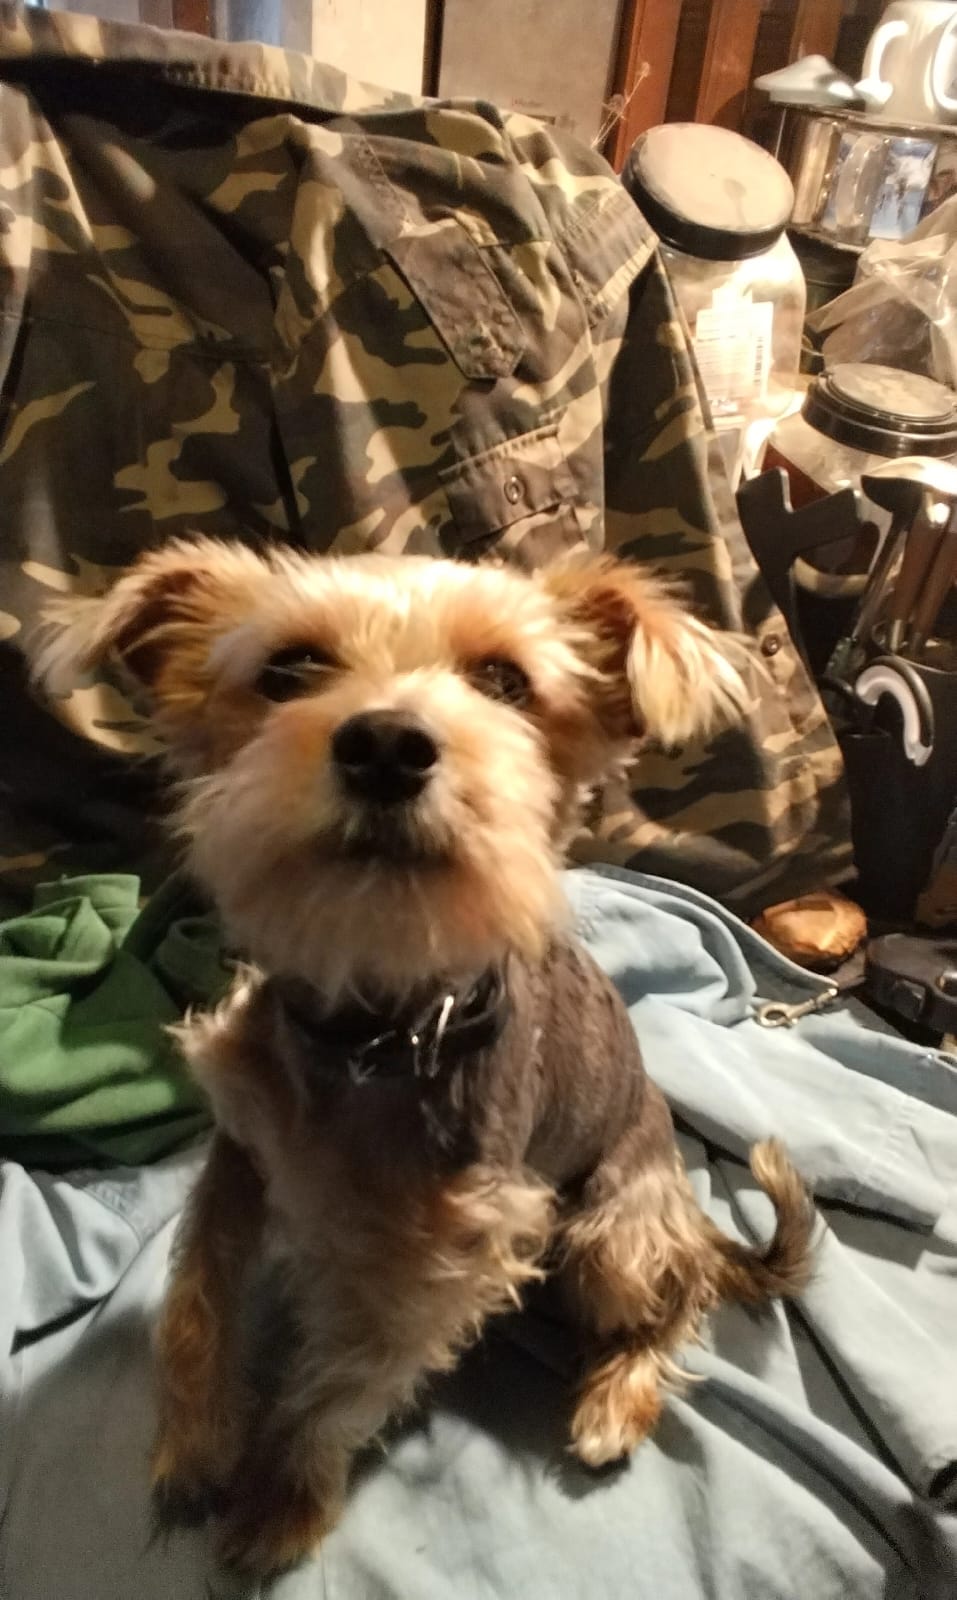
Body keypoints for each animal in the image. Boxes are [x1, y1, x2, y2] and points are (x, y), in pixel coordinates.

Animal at [43, 539, 813, 1576]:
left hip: (613, 1233)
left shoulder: (450, 1260)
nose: (385, 745)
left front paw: (281, 1498)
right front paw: (195, 1442)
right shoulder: (239, 1157)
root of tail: (693, 1220)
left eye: (506, 681)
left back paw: (615, 1399)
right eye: (287, 669)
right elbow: (196, 1294)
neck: (376, 1027)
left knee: (674, 1300)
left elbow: (346, 1380)